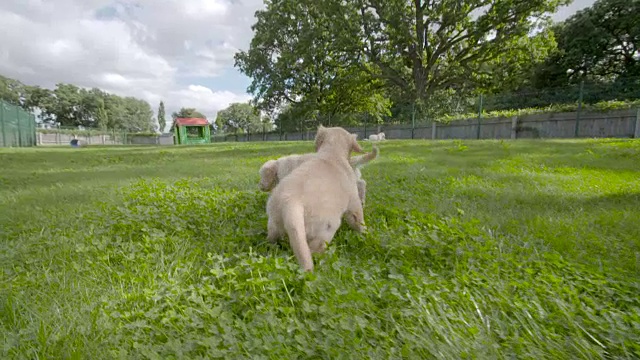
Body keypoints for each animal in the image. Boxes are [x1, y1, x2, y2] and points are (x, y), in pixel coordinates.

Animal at [264, 125, 364, 272]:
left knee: (274, 239)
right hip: (326, 228)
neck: (331, 154)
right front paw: (365, 234)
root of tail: (291, 202)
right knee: (314, 250)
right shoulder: (353, 202)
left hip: (275, 223)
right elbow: (359, 220)